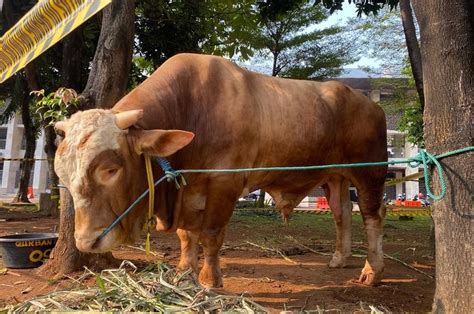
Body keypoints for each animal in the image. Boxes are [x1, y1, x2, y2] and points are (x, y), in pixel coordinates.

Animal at [56, 53, 388, 288]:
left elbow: (211, 234)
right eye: (62, 176)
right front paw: (183, 272)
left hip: (370, 173)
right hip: (336, 176)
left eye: (111, 169)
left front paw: (209, 279)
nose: (87, 242)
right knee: (342, 215)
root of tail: (369, 104)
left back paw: (372, 271)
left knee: (373, 217)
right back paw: (339, 258)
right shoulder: (188, 190)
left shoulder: (225, 183)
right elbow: (186, 236)